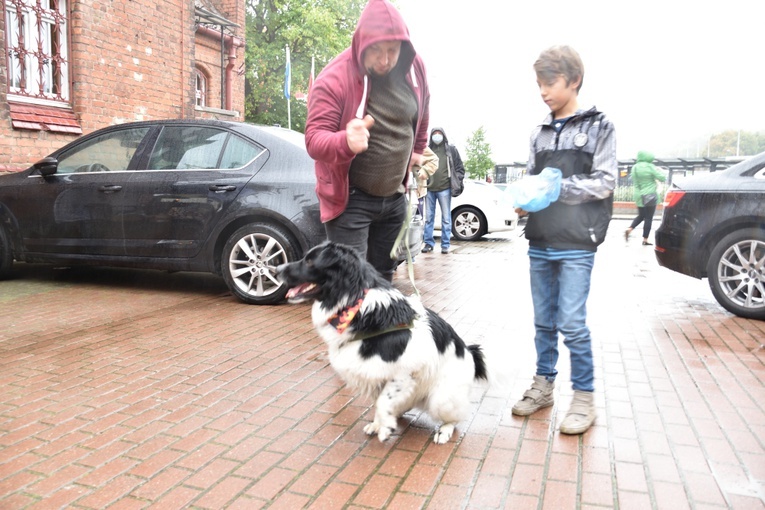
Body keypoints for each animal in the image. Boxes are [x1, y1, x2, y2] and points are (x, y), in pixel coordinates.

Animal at [278, 241, 486, 444]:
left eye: (310, 262)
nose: (276, 268)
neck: (358, 306)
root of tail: (469, 352)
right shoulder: (375, 373)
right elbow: (379, 402)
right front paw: (379, 424)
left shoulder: (404, 372)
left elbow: (383, 401)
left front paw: (385, 427)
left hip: (441, 399)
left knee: (455, 418)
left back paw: (444, 431)